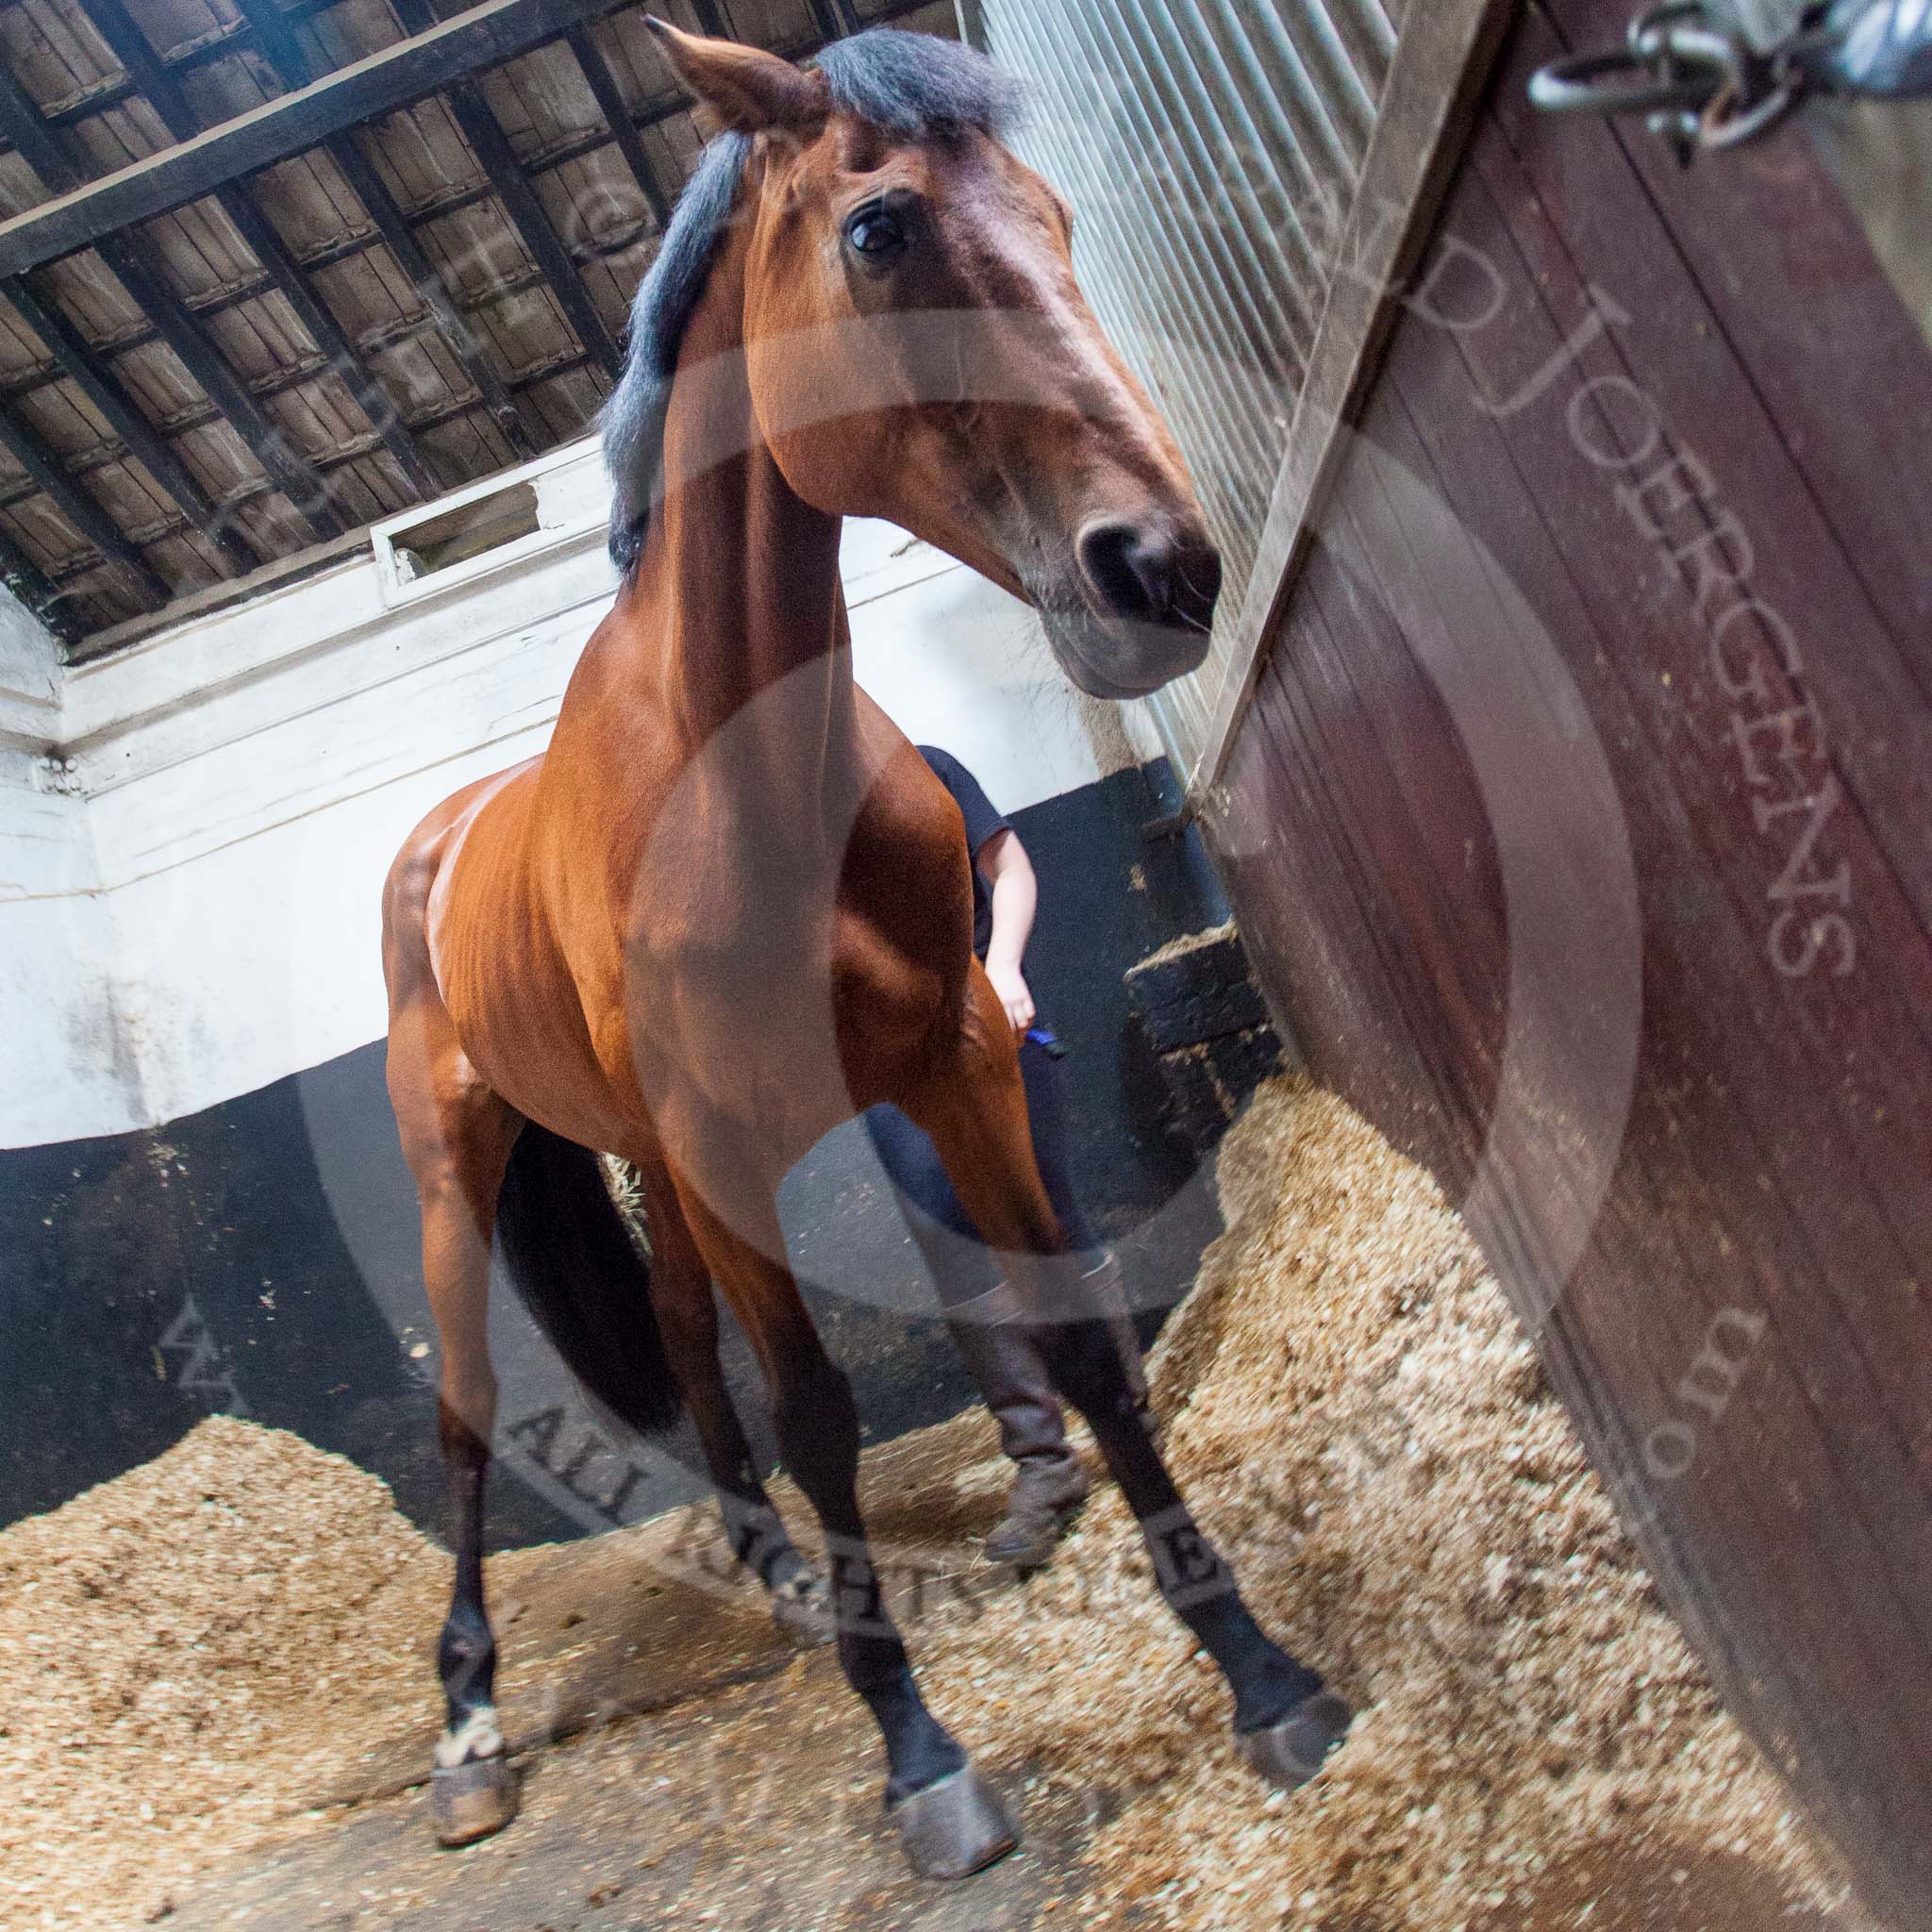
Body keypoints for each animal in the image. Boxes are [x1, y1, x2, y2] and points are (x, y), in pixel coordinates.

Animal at [373, 23, 1344, 1877]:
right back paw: (466, 1729)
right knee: (462, 1421)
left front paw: (1265, 1674)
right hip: (466, 1173)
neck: (737, 777)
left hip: (648, 1171)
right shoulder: (728, 1148)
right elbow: (820, 1409)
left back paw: (766, 1575)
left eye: (1054, 214)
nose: (1162, 568)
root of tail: (436, 836)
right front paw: (921, 1760)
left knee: (685, 1350)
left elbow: (1082, 1346)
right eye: (882, 230)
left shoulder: (958, 1075)